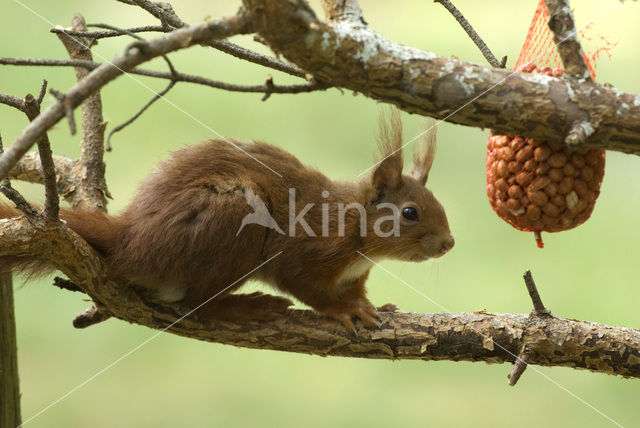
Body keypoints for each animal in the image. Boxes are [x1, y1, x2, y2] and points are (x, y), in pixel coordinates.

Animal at [0, 111, 452, 332]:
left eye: (437, 203)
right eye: (410, 213)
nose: (448, 244)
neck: (357, 231)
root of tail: (131, 237)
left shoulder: (354, 274)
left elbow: (357, 292)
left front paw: (369, 305)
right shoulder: (307, 250)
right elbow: (305, 285)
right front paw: (342, 310)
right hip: (232, 220)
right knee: (195, 301)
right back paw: (246, 307)